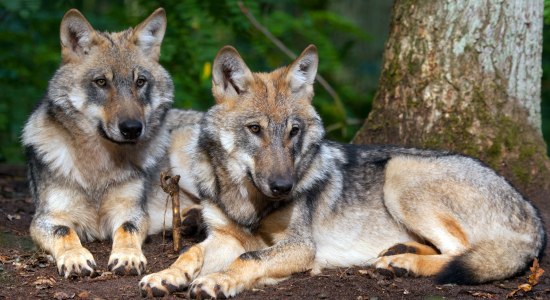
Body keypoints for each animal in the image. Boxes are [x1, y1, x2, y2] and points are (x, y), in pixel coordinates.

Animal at [22, 7, 203, 278]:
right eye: (101, 82)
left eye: (140, 82)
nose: (132, 129)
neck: (98, 165)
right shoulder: (46, 218)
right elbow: (64, 231)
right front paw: (75, 258)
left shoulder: (132, 211)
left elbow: (127, 228)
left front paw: (127, 257)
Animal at [139, 44, 548, 298]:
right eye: (255, 129)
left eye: (293, 131)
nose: (284, 186)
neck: (247, 201)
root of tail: (533, 215)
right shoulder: (225, 237)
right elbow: (189, 254)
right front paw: (165, 276)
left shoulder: (300, 247)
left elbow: (248, 260)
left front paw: (216, 281)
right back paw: (396, 254)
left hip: (401, 173)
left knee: (463, 253)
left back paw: (403, 262)